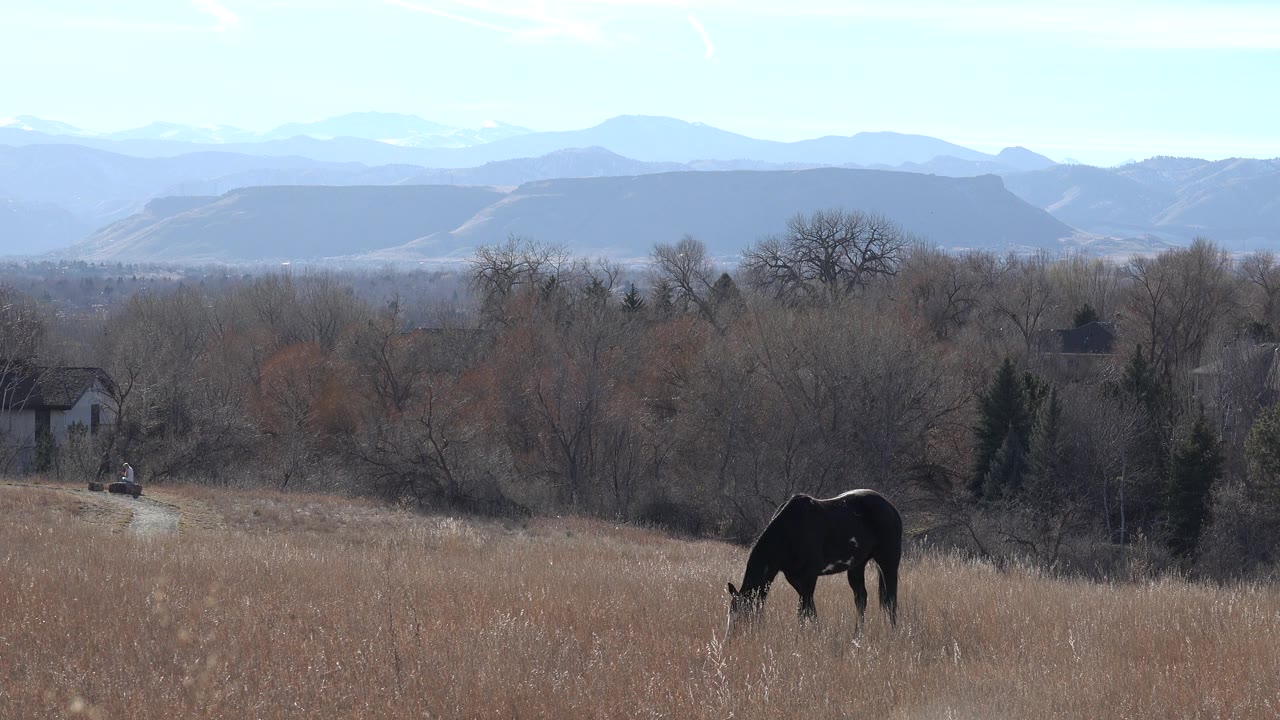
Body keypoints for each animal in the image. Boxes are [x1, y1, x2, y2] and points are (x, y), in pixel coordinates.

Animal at [725, 489, 902, 638]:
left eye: (742, 616)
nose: (731, 639)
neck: (790, 530)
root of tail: (891, 508)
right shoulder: (796, 579)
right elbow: (809, 608)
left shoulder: (809, 577)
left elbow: (803, 610)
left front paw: (804, 637)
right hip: (857, 566)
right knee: (861, 599)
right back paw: (858, 634)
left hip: (888, 563)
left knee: (891, 600)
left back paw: (893, 633)